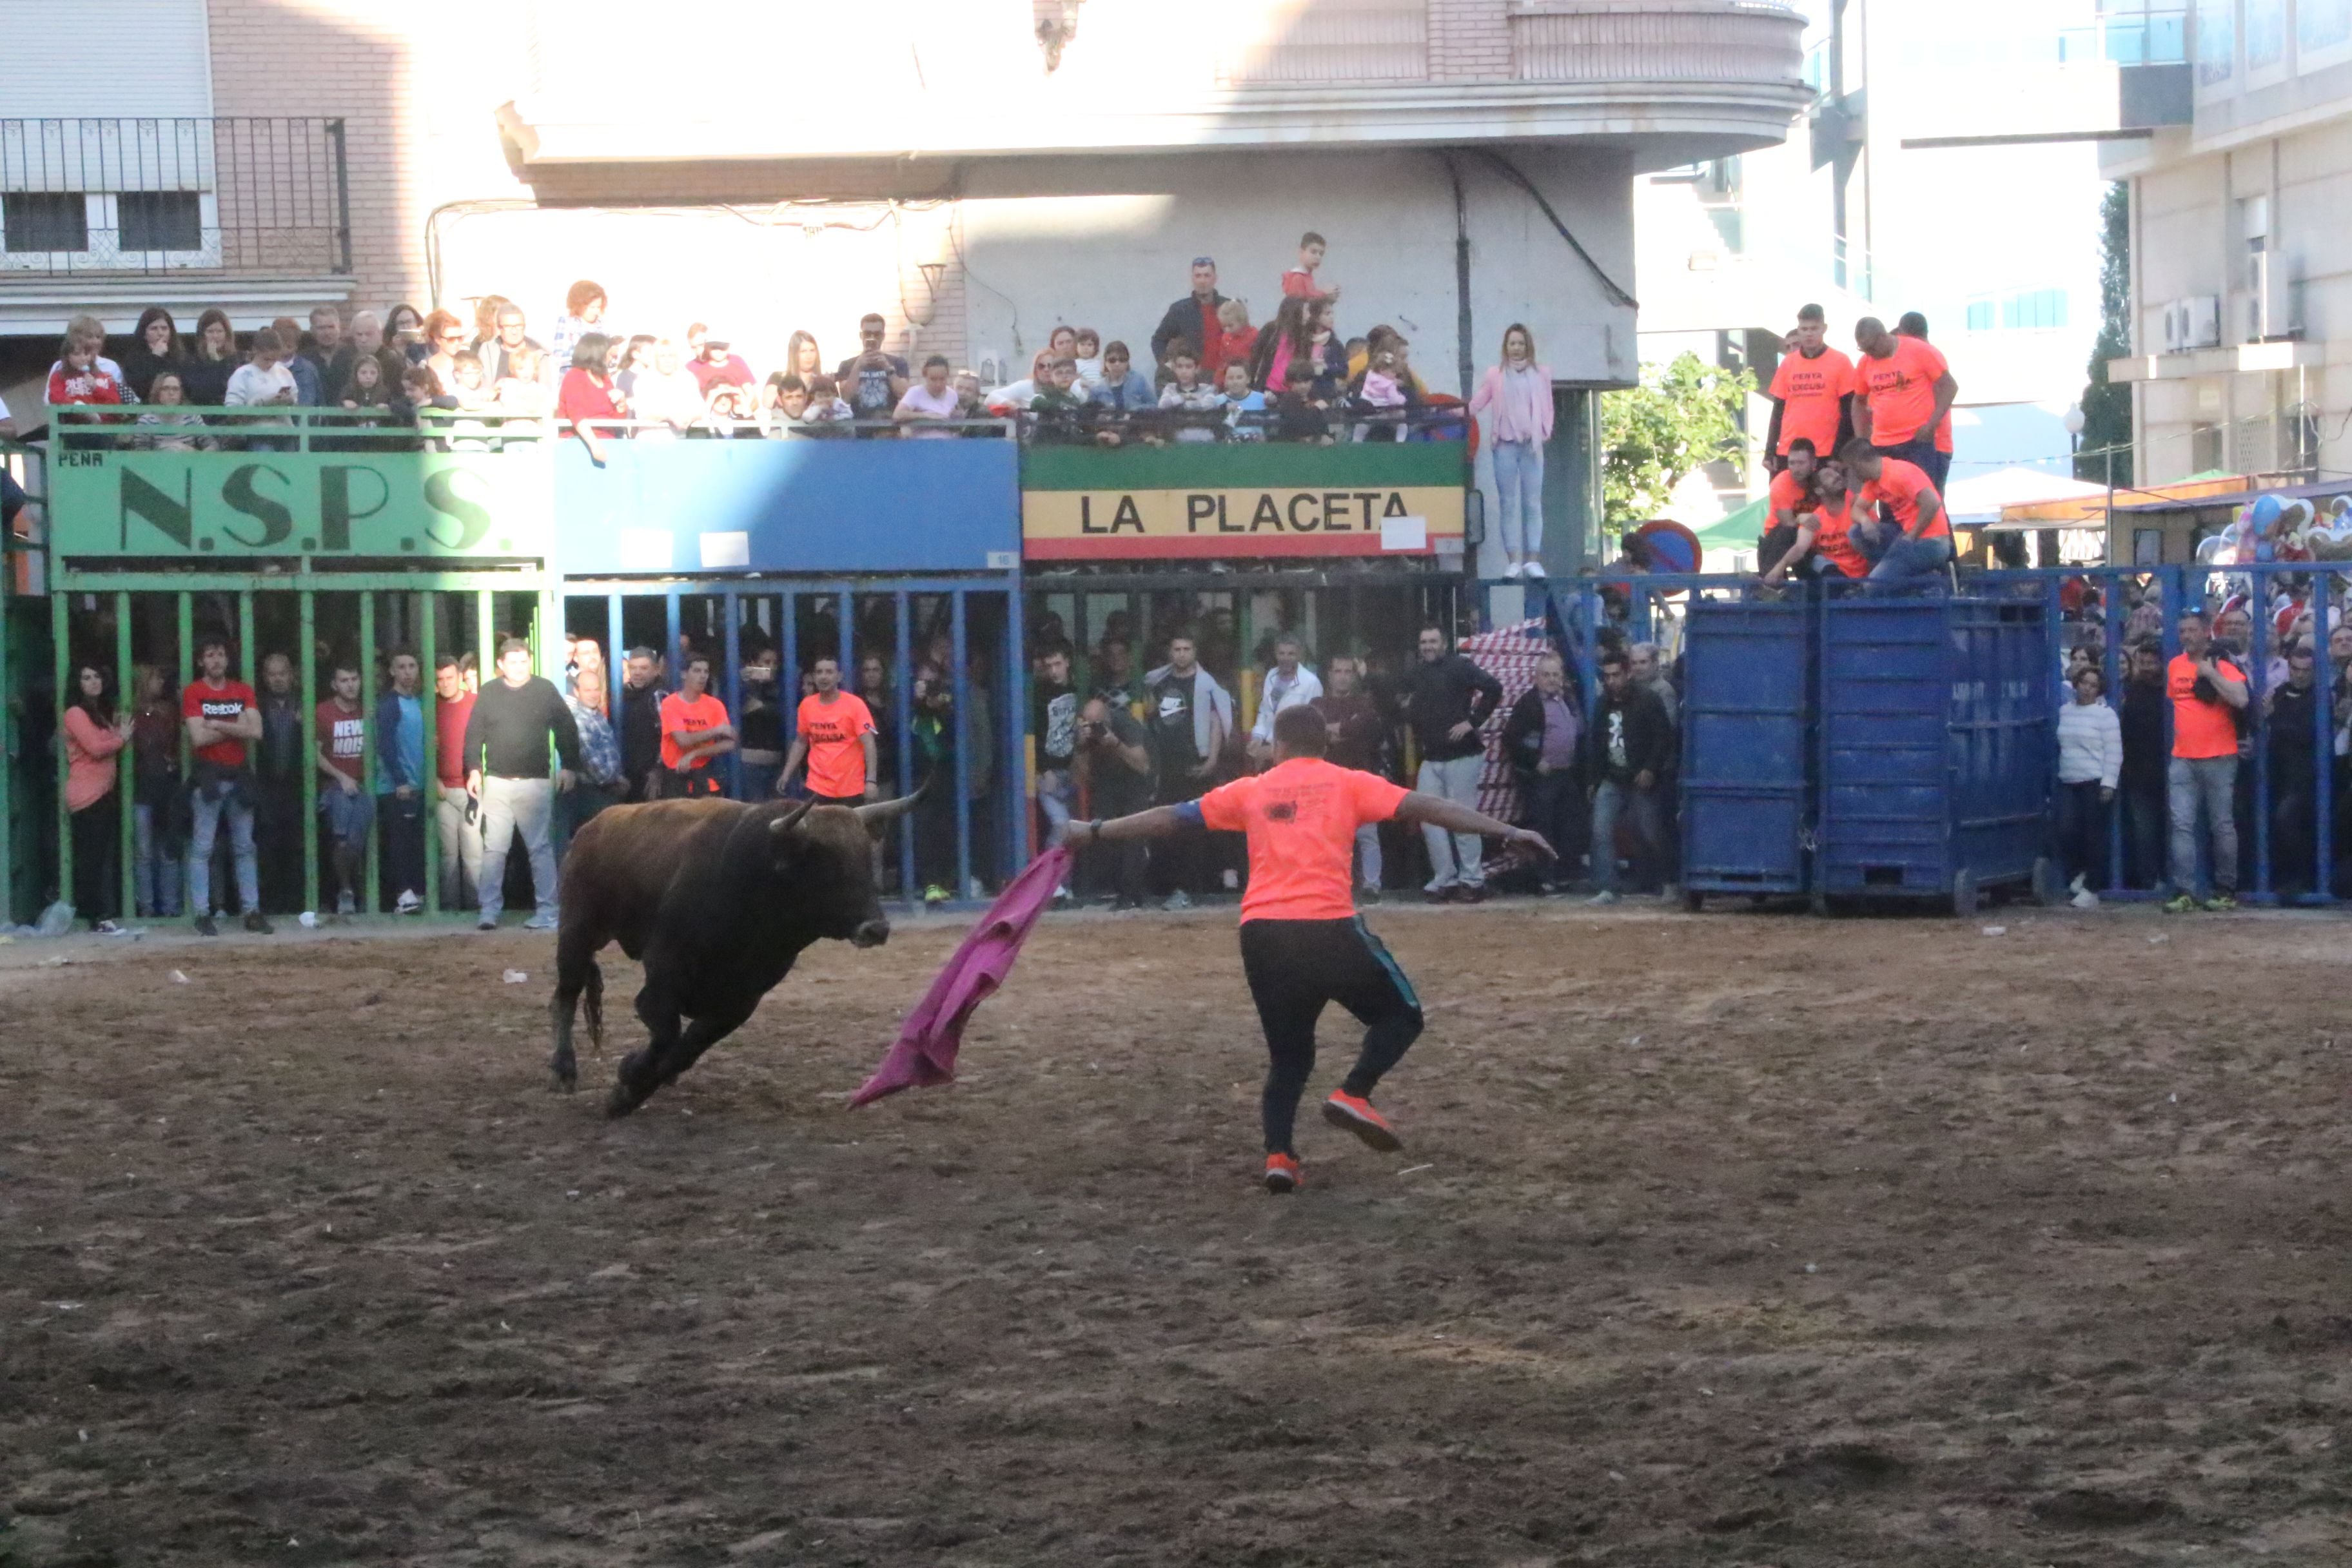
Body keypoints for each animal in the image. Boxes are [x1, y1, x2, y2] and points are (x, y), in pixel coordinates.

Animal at [550, 799, 917, 1114]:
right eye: (825, 866)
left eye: (865, 862)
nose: (876, 928)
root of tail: (590, 828)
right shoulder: (662, 980)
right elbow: (667, 1034)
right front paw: (629, 1082)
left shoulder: (740, 1002)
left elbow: (686, 1050)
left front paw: (633, 1086)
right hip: (576, 932)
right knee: (565, 995)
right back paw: (563, 1070)